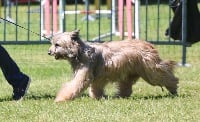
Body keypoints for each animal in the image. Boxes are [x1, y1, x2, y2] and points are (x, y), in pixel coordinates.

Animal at [48, 30, 178, 102]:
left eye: (57, 44)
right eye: (52, 43)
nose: (49, 52)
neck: (80, 51)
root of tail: (149, 45)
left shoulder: (84, 75)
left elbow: (74, 86)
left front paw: (61, 99)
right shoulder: (98, 78)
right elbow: (95, 89)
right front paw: (98, 97)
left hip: (151, 70)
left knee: (166, 76)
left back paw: (173, 88)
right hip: (131, 72)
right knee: (126, 87)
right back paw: (120, 96)